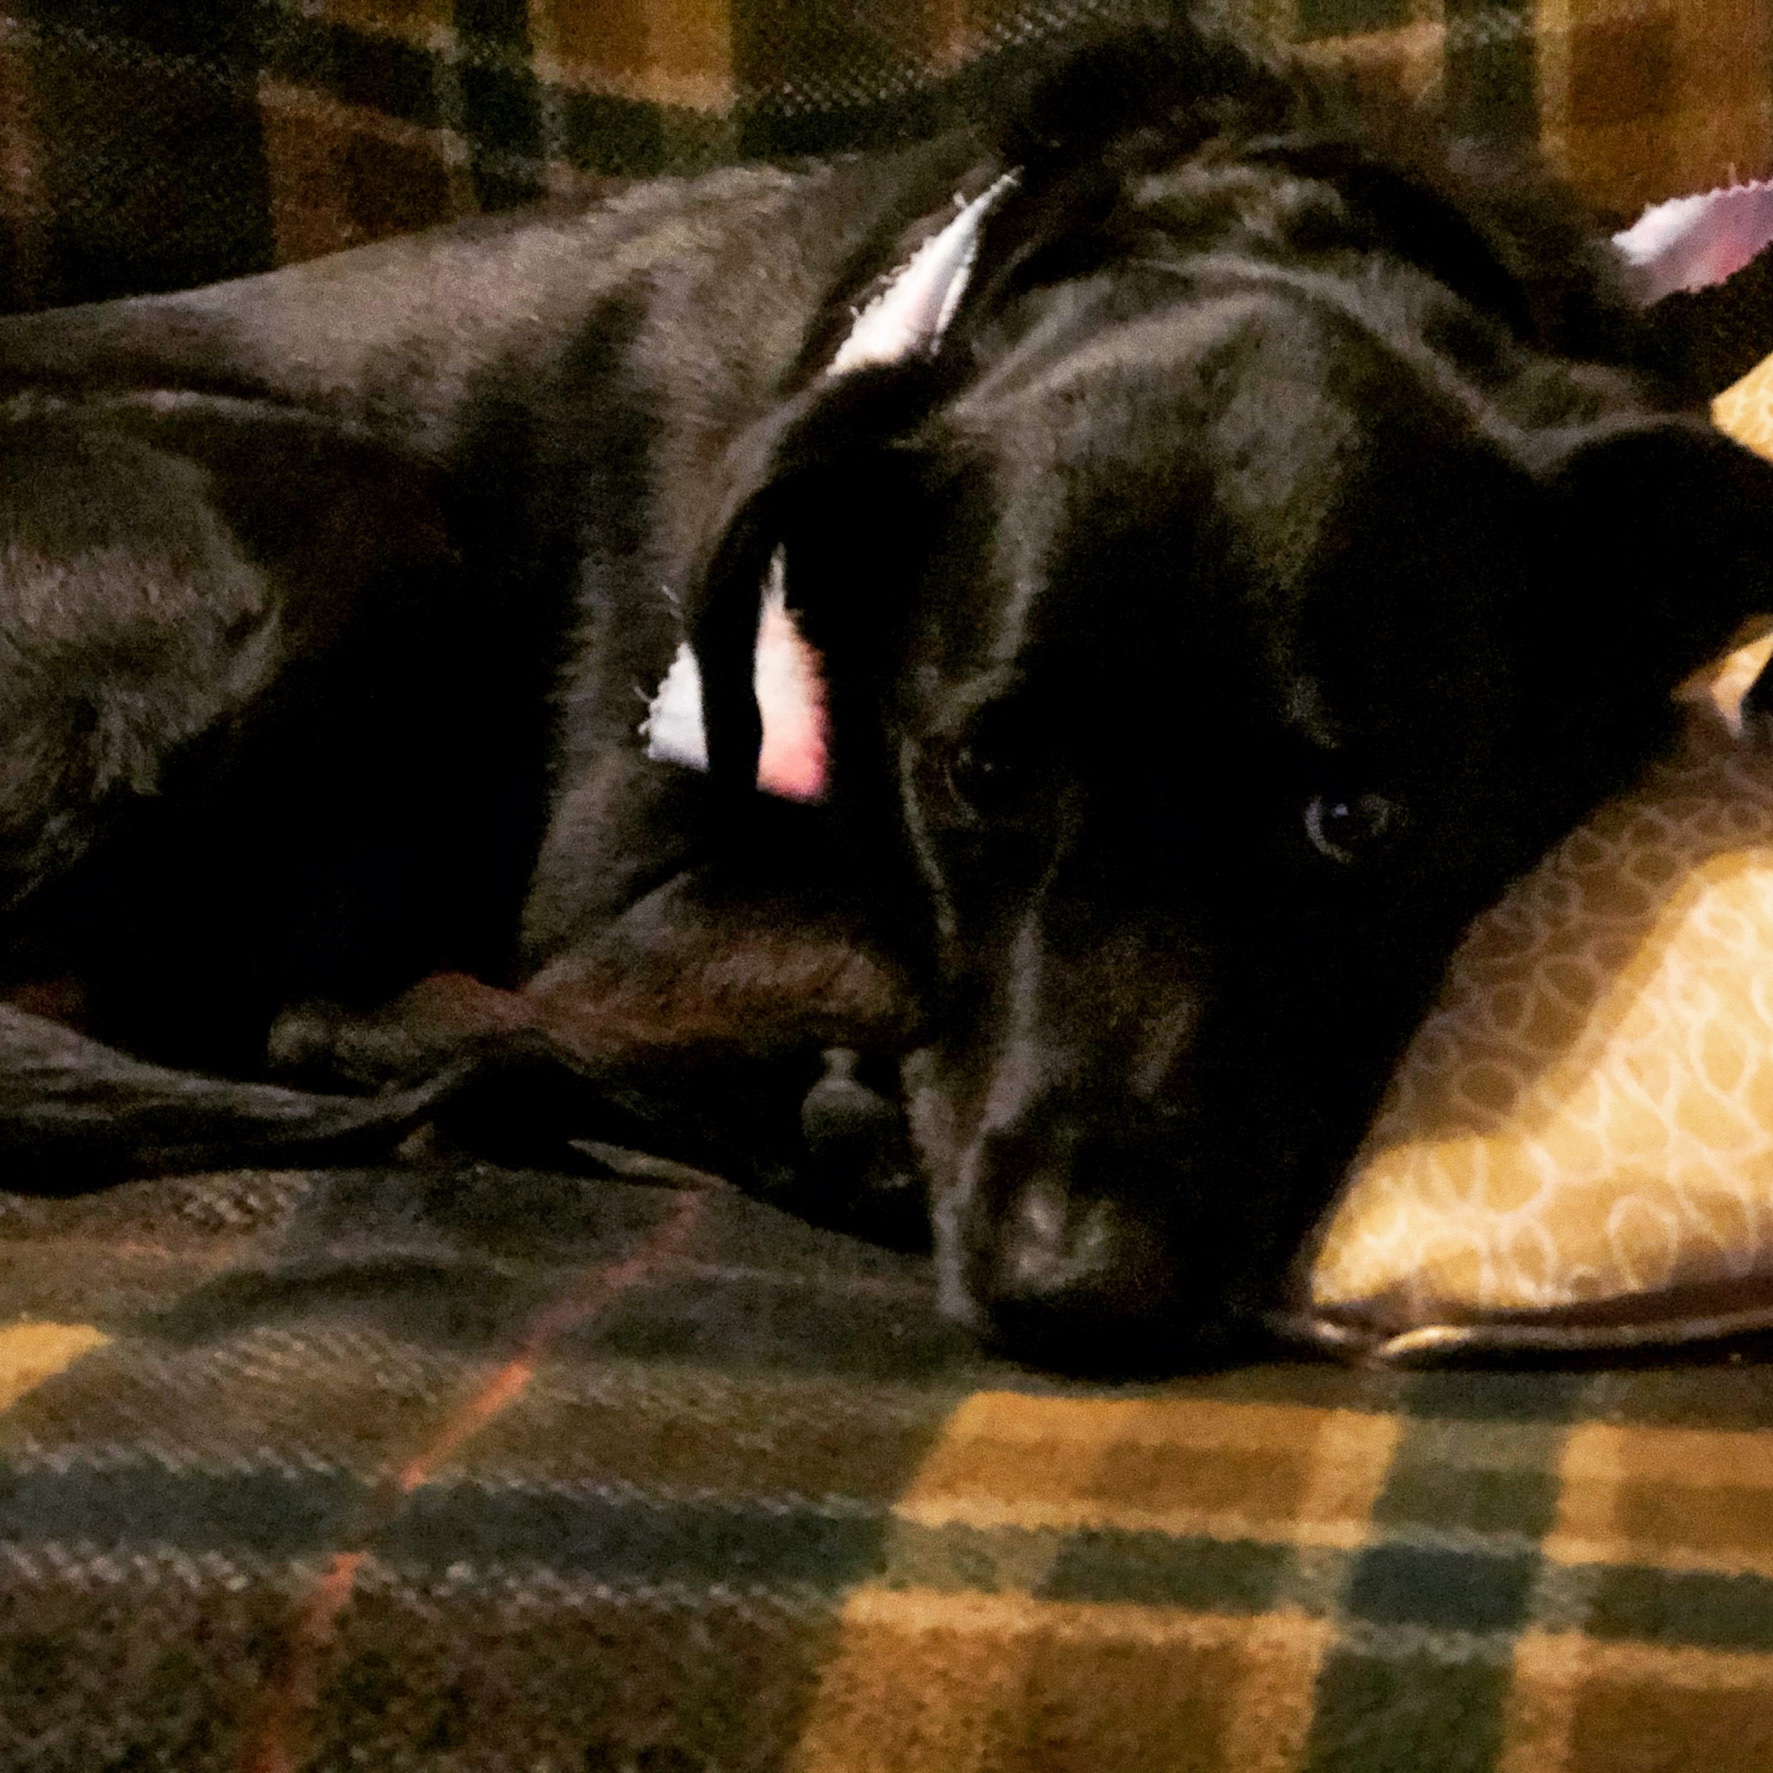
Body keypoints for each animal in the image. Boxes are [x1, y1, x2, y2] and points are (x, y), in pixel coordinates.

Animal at [2, 7, 1773, 1369]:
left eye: (1356, 817)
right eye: (975, 774)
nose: (1072, 1296)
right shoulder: (625, 908)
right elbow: (841, 953)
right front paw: (837, 1115)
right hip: (348, 518)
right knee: (322, 1008)